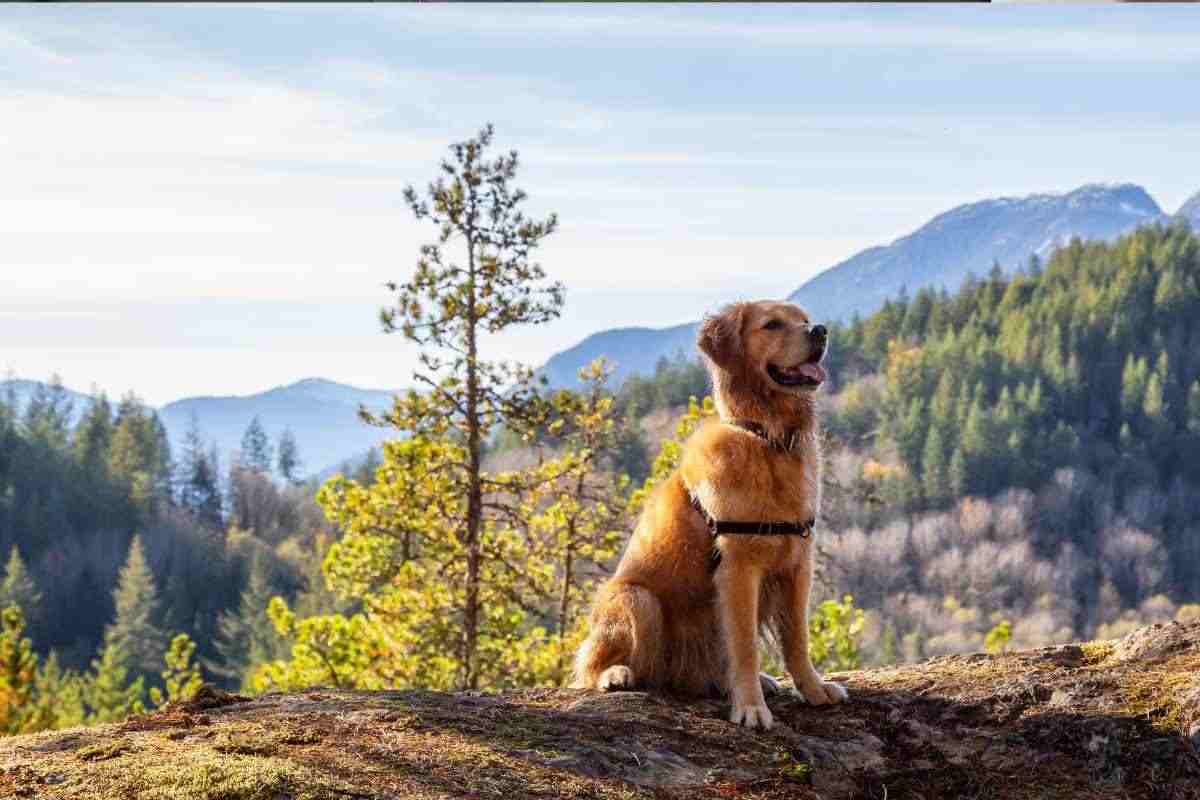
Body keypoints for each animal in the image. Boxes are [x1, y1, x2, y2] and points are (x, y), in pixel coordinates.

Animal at [568, 297, 844, 729]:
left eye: (803, 319)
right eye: (772, 324)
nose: (820, 331)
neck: (767, 438)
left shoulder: (797, 564)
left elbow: (797, 640)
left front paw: (814, 691)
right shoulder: (739, 568)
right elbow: (745, 647)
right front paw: (750, 708)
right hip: (637, 599)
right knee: (594, 667)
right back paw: (616, 674)